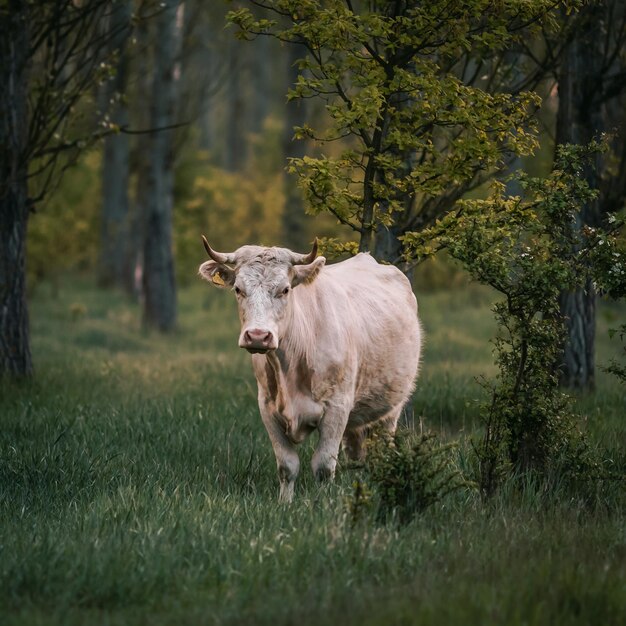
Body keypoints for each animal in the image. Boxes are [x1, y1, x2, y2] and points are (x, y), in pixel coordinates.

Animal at [197, 236, 420, 500]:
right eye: (238, 289)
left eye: (285, 289)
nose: (258, 336)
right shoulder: (267, 407)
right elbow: (287, 466)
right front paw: (285, 503)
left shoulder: (337, 407)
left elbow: (323, 466)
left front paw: (323, 503)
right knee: (357, 455)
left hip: (391, 409)